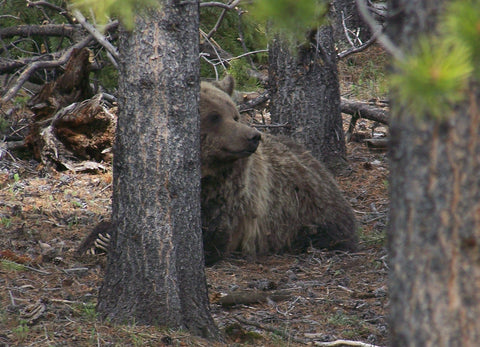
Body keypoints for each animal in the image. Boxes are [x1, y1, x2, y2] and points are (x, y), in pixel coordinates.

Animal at [79, 76, 356, 266]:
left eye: (234, 115)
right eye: (215, 117)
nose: (253, 136)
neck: (208, 175)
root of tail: (316, 160)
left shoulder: (235, 202)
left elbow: (212, 238)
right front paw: (98, 239)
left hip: (306, 204)